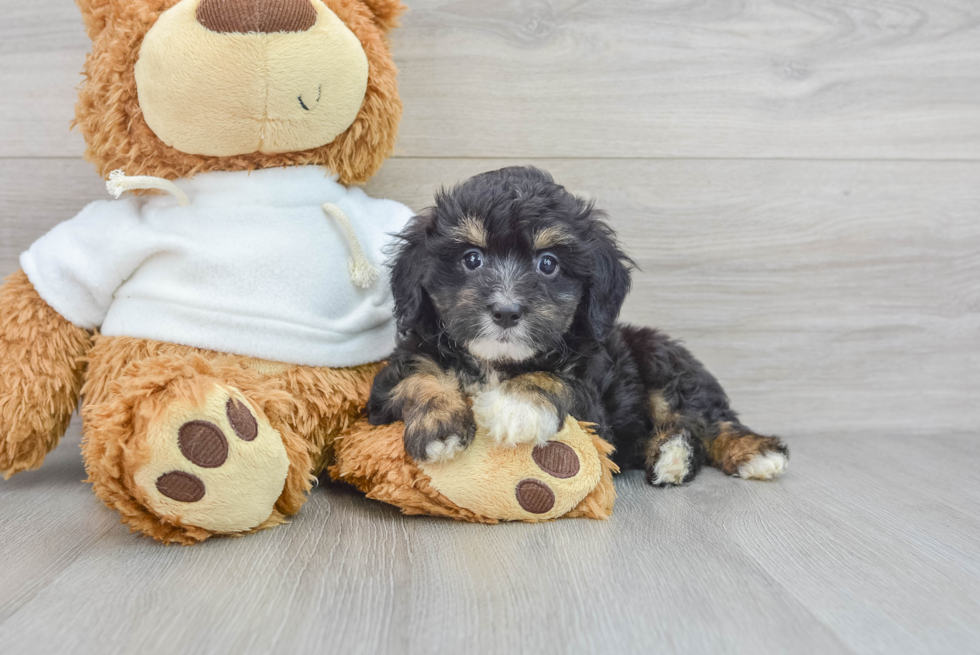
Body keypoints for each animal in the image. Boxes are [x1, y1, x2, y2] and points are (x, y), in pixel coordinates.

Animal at [368, 167, 788, 484]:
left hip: (660, 358)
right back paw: (672, 455)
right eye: (472, 259)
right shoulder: (394, 377)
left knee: (707, 419)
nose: (506, 311)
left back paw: (748, 453)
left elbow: (558, 380)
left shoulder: (595, 409)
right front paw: (439, 426)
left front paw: (515, 405)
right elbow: (418, 377)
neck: (497, 363)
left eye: (548, 264)